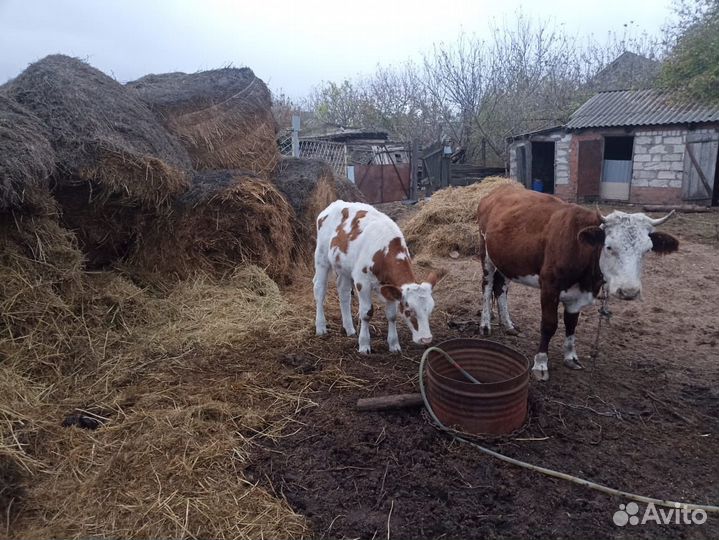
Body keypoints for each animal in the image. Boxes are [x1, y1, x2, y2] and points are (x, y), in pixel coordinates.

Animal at [314, 200, 443, 354]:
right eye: (408, 311)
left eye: (430, 310)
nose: (426, 339)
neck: (383, 251)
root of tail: (335, 203)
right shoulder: (362, 281)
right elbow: (366, 313)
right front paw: (364, 345)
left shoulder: (390, 286)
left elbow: (391, 315)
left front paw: (394, 344)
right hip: (321, 257)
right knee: (319, 290)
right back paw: (321, 327)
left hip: (344, 267)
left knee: (343, 292)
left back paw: (349, 329)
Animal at [477, 184, 679, 381]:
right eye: (609, 247)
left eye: (647, 250)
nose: (629, 291)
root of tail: (499, 190)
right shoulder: (549, 287)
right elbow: (549, 325)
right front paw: (540, 363)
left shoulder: (579, 295)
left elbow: (571, 324)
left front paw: (571, 357)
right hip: (486, 254)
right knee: (487, 287)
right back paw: (485, 325)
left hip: (506, 261)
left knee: (500, 288)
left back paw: (509, 325)